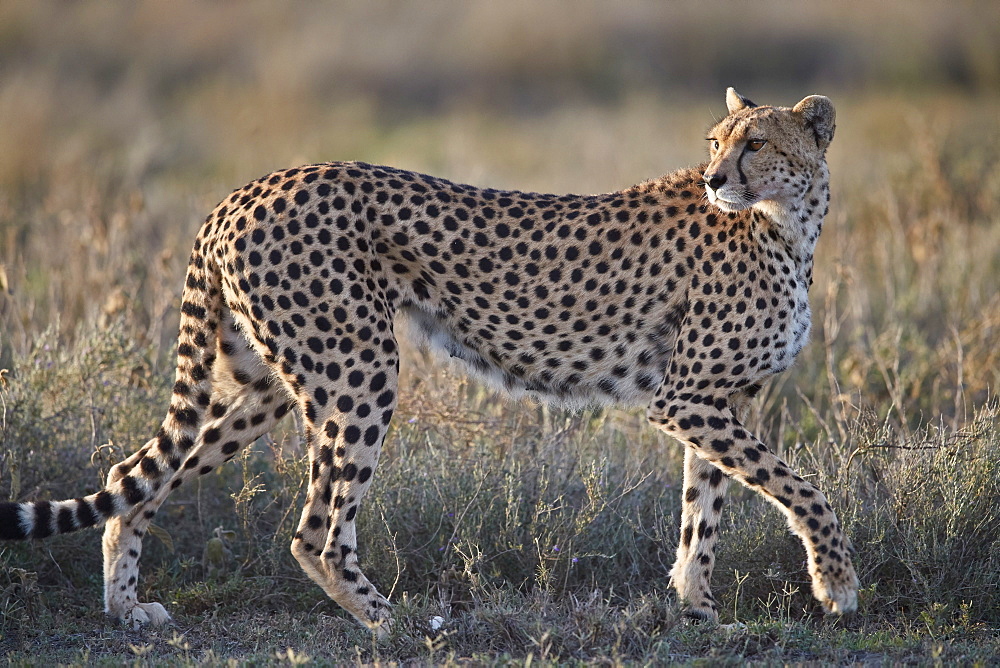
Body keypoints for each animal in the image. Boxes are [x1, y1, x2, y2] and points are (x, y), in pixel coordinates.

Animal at [0, 90, 860, 636]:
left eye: (757, 143)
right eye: (717, 143)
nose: (715, 180)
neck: (787, 223)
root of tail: (247, 189)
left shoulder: (719, 399)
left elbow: (702, 512)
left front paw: (698, 610)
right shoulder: (685, 398)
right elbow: (803, 489)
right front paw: (837, 585)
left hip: (266, 382)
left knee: (132, 476)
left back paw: (125, 608)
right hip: (358, 370)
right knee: (314, 530)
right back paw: (397, 623)